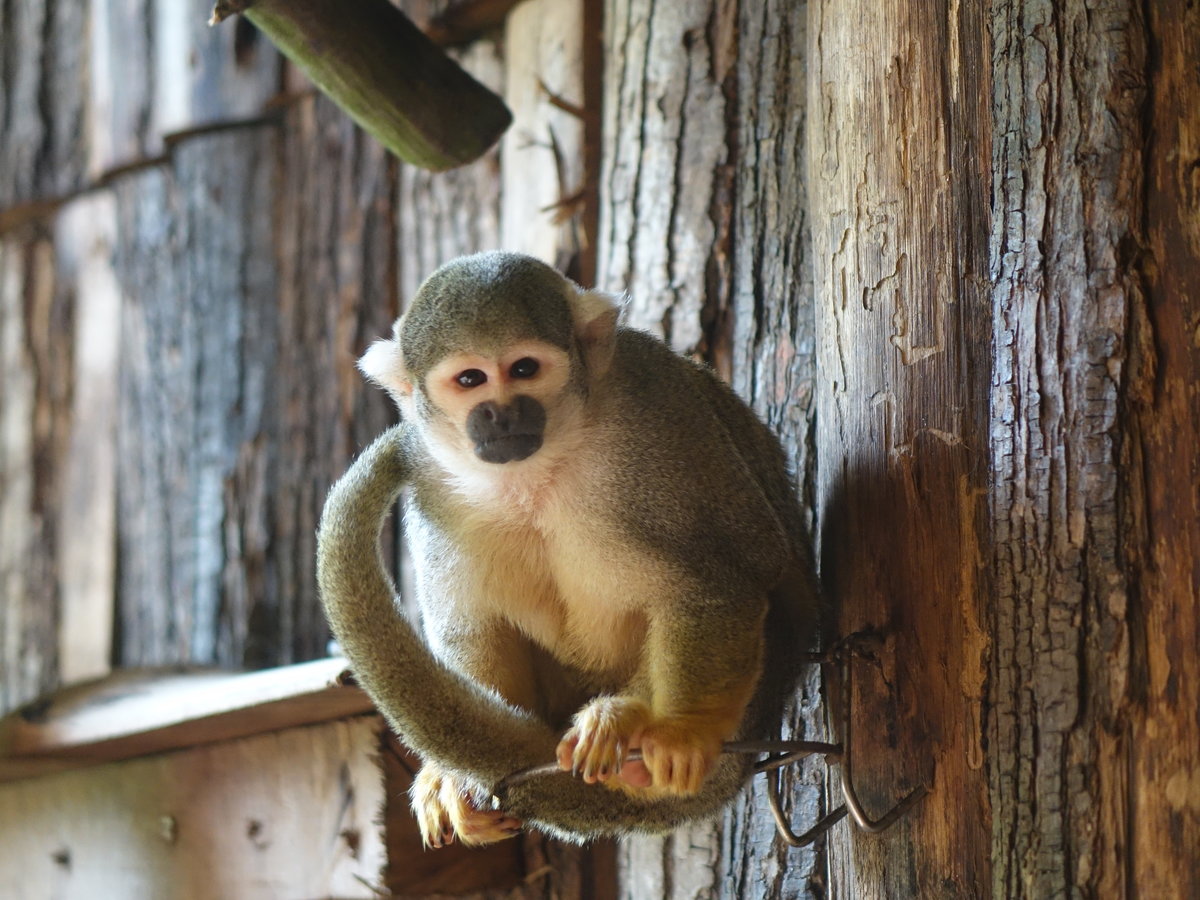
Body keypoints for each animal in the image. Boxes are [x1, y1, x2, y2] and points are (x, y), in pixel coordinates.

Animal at [314, 250, 820, 849]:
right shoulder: (430, 479)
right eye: (471, 379)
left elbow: (724, 577)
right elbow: (474, 629)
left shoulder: (658, 419)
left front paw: (682, 729)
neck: (540, 470)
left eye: (524, 369)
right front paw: (452, 779)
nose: (502, 414)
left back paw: (625, 727)